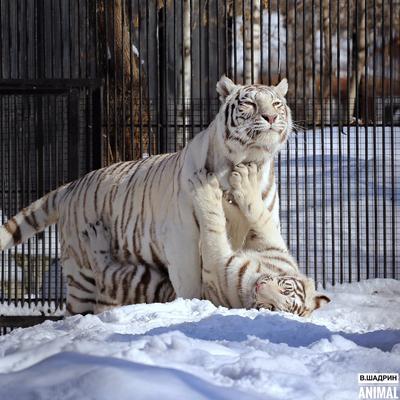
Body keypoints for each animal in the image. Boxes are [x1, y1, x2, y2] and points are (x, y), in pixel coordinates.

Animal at [0, 76, 294, 316]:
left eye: (276, 104)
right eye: (250, 104)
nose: (270, 117)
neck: (248, 161)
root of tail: (72, 185)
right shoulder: (182, 239)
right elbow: (191, 282)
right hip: (81, 274)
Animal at [80, 164, 328, 318]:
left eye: (271, 308)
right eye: (286, 288)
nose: (260, 287)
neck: (256, 271)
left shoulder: (217, 262)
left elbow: (213, 222)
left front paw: (206, 185)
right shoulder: (272, 244)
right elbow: (259, 214)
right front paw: (242, 184)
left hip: (139, 279)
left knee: (104, 271)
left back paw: (95, 235)